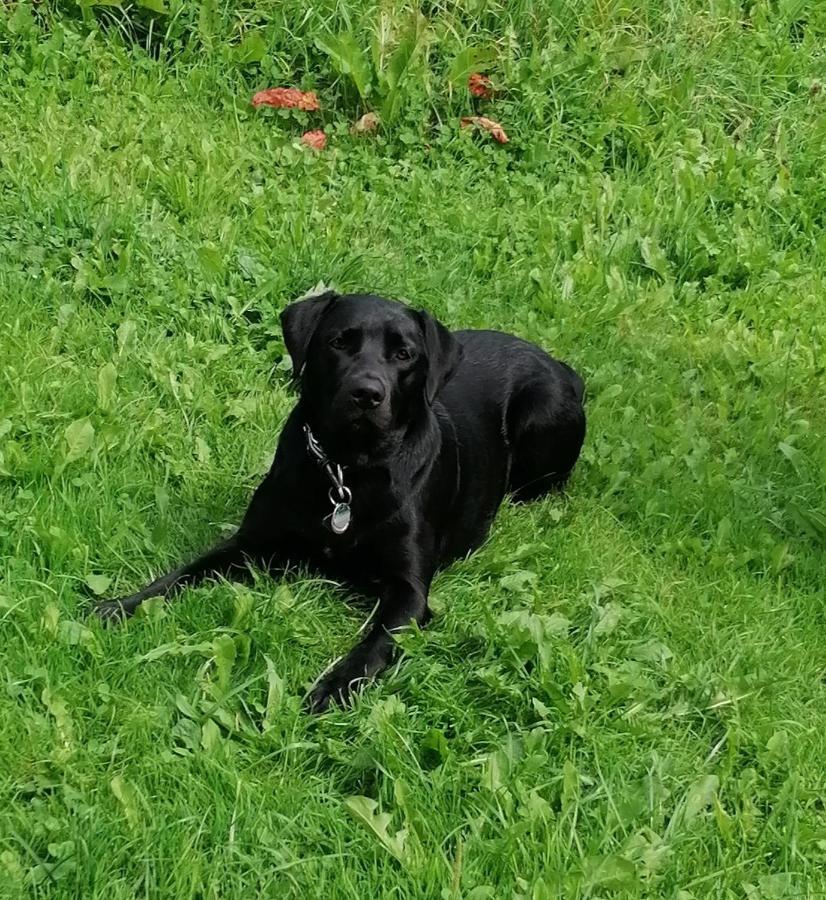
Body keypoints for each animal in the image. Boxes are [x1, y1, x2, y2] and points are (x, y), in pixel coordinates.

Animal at [93, 296, 584, 712]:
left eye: (404, 355)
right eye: (339, 342)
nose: (367, 392)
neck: (347, 470)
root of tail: (560, 365)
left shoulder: (409, 592)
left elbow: (373, 645)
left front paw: (335, 685)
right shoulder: (251, 544)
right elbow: (183, 574)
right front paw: (121, 604)